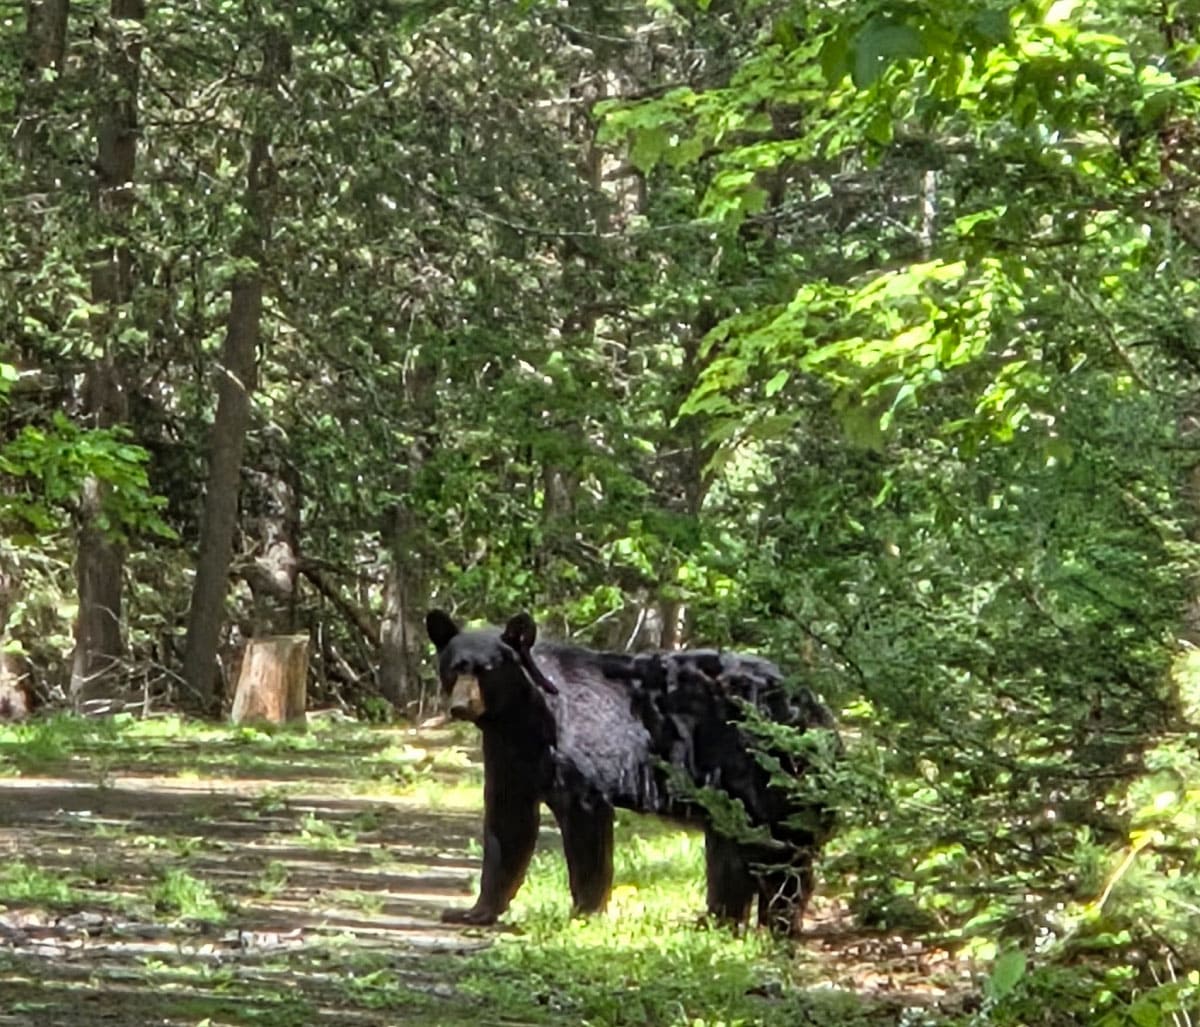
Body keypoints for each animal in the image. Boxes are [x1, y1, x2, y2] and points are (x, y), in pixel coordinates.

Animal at [425, 608, 838, 936]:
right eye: (454, 668)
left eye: (487, 670)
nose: (460, 706)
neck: (521, 717)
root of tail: (813, 707)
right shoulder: (507, 755)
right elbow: (508, 824)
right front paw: (474, 911)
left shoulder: (576, 749)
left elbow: (585, 824)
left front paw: (584, 911)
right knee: (732, 852)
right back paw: (719, 921)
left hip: (762, 770)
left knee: (778, 850)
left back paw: (777, 923)